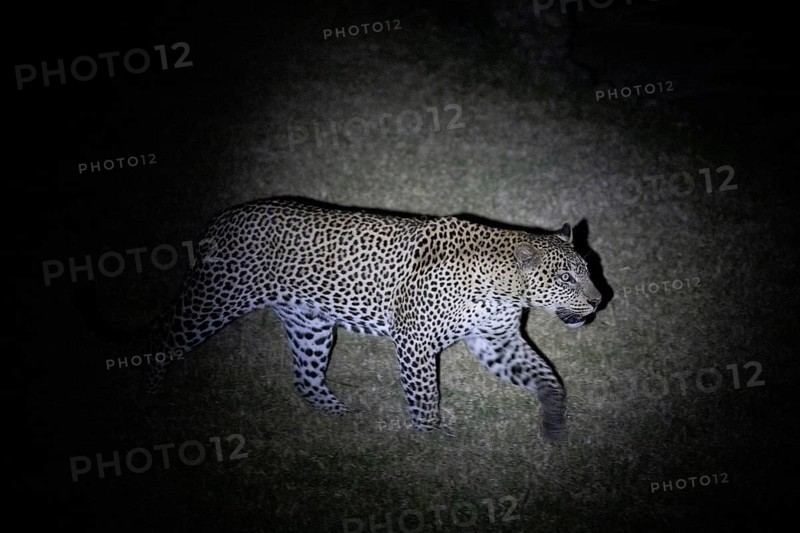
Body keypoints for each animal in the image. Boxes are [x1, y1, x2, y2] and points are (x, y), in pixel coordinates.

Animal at [142, 197, 601, 442]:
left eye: (587, 270)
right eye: (566, 277)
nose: (598, 301)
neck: (503, 289)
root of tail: (222, 218)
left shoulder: (497, 341)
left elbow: (547, 378)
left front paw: (554, 427)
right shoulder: (415, 342)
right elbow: (424, 397)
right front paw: (431, 441)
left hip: (310, 324)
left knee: (305, 379)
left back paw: (346, 420)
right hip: (214, 300)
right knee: (160, 335)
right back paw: (147, 400)